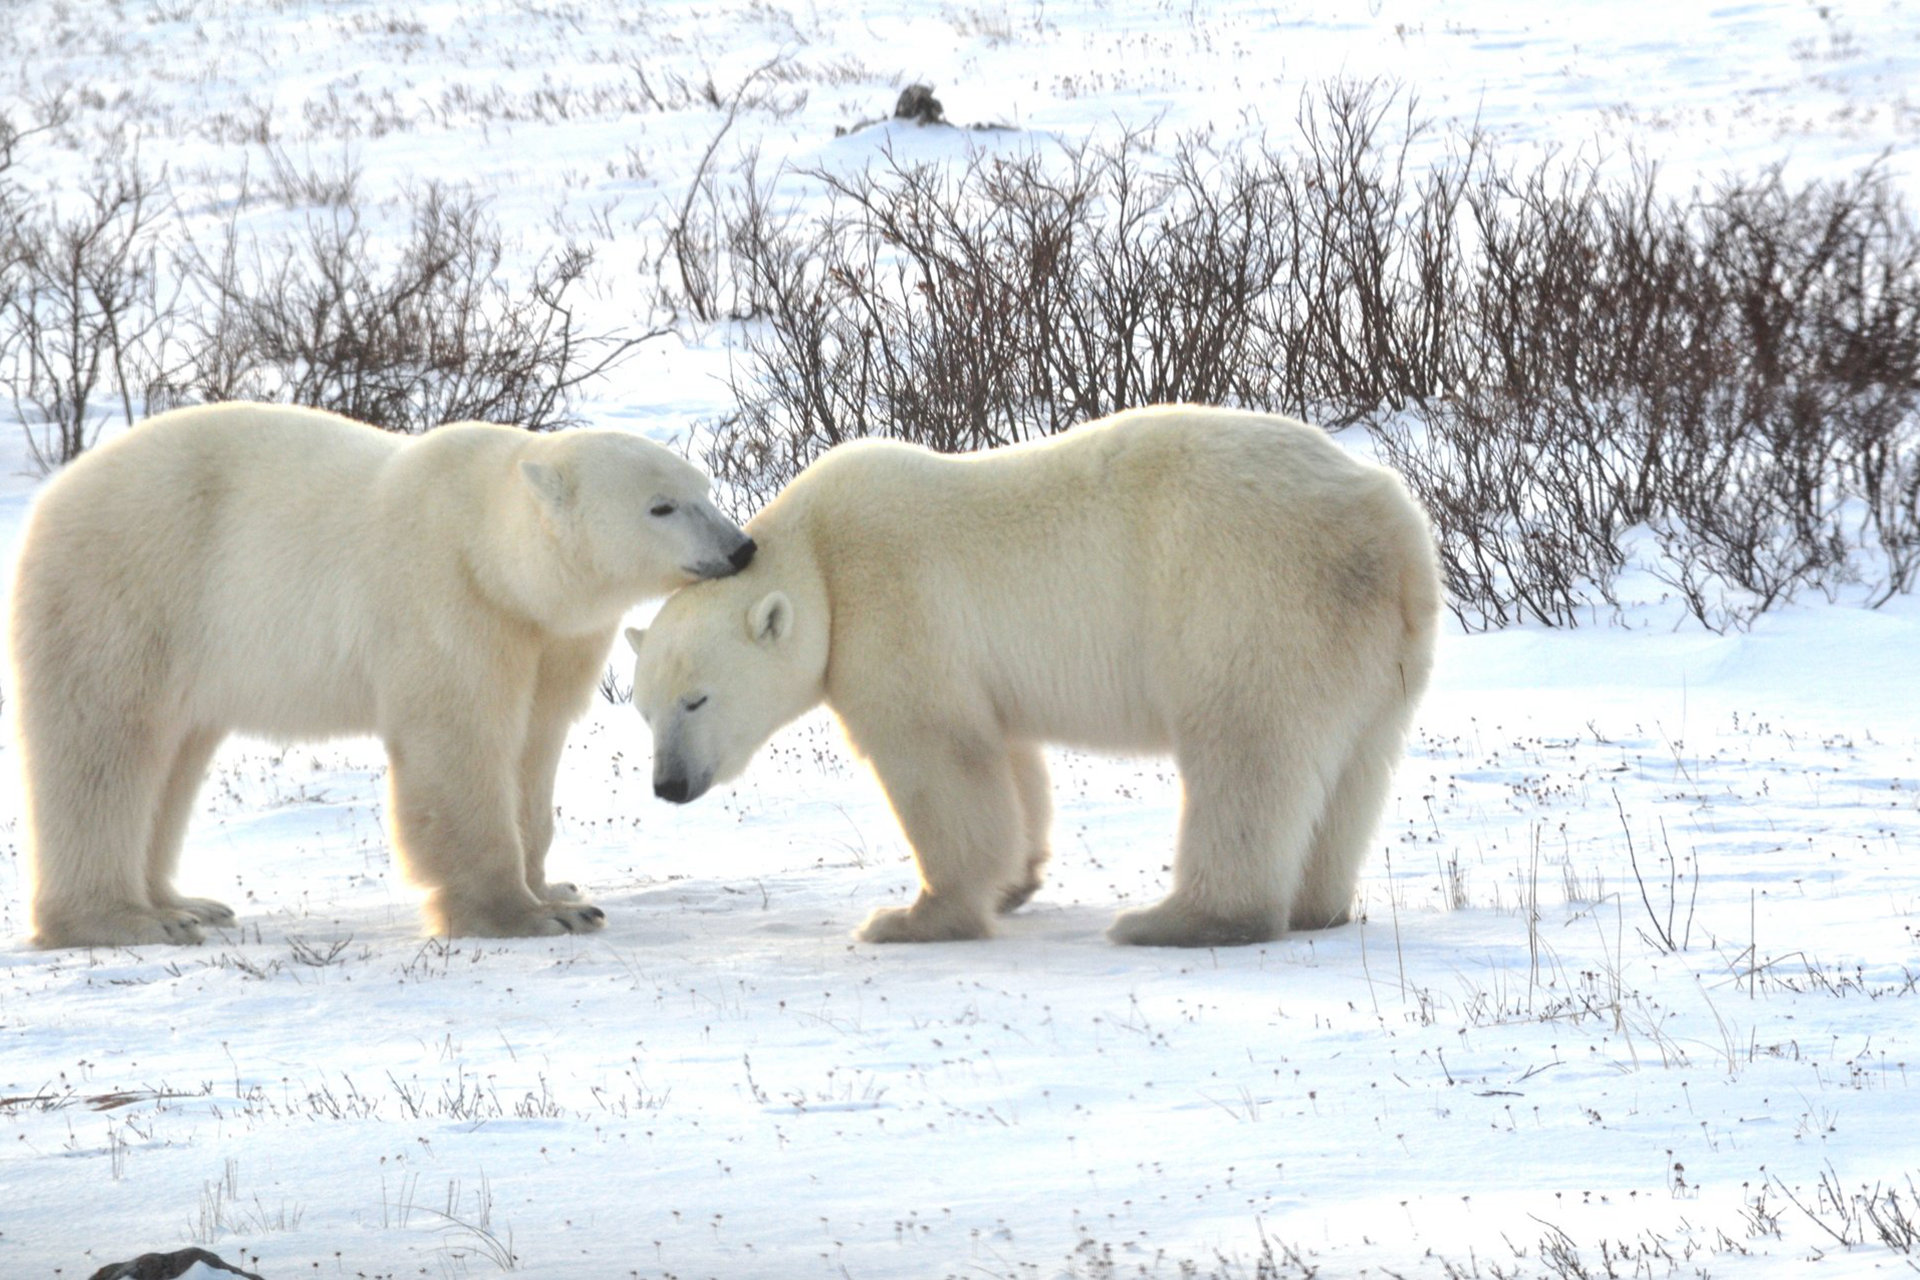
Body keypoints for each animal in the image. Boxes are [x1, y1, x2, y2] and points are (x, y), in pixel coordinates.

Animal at [13, 402, 756, 951]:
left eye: (703, 489)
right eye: (661, 506)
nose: (741, 547)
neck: (491, 549)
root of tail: (53, 495)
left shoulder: (551, 636)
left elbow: (533, 744)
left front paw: (559, 890)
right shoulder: (447, 602)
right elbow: (460, 746)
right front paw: (526, 914)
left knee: (174, 757)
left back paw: (185, 902)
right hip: (128, 591)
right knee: (103, 748)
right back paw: (126, 920)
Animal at [629, 404, 1443, 948]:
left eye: (696, 699)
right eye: (644, 709)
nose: (668, 784)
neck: (819, 555)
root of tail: (1392, 530)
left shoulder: (893, 608)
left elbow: (937, 761)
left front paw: (910, 916)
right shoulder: (977, 668)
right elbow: (1005, 758)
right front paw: (1016, 881)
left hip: (1250, 600)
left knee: (1245, 752)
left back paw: (1176, 918)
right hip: (1378, 651)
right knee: (1354, 770)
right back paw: (1318, 906)